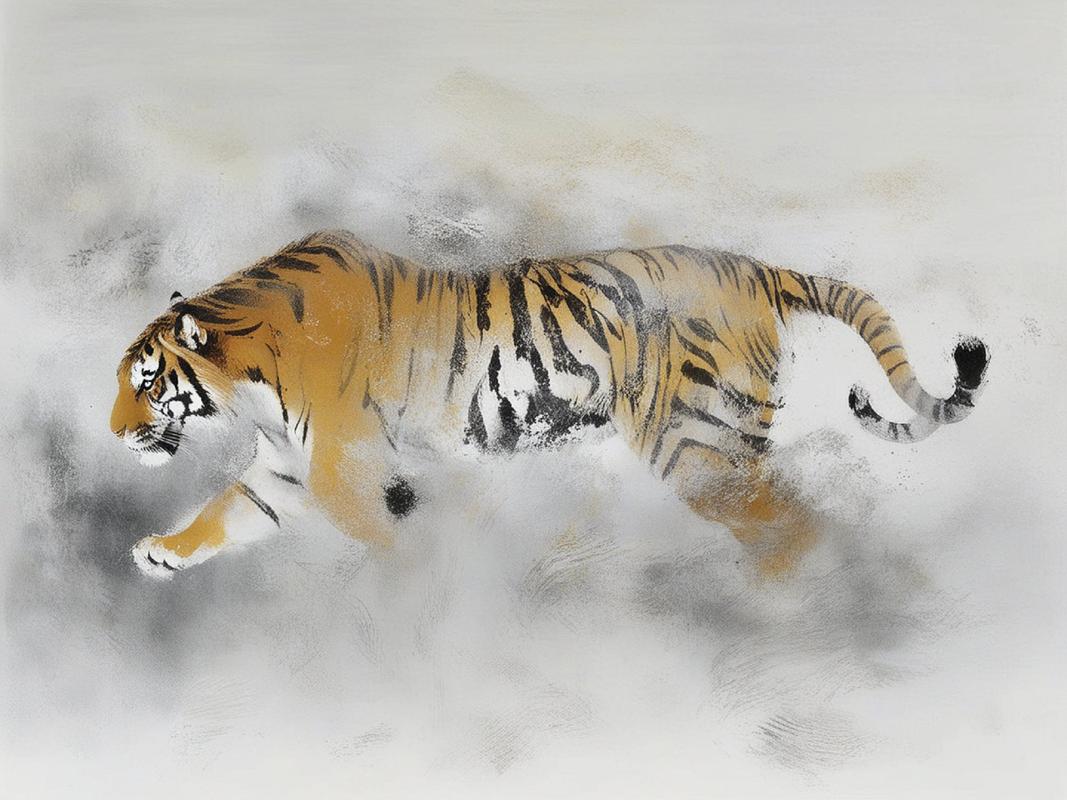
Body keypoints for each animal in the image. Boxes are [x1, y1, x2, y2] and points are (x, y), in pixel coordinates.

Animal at [110, 230, 988, 577]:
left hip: (696, 446)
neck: (249, 383)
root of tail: (760, 268)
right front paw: (164, 551)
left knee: (789, 532)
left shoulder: (341, 469)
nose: (116, 434)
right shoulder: (287, 469)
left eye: (146, 382)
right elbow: (227, 510)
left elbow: (387, 538)